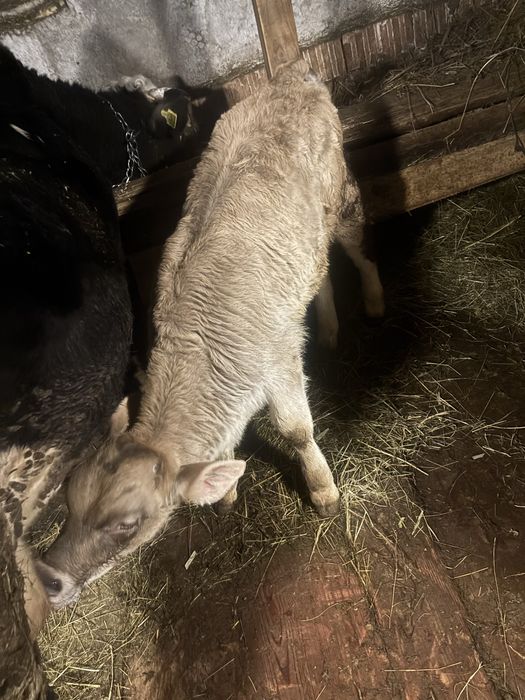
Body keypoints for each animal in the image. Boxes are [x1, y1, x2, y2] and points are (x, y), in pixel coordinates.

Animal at [37, 59, 384, 609]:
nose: (49, 578)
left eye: (127, 524)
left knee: (355, 243)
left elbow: (296, 431)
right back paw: (328, 328)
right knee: (322, 270)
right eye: (69, 502)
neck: (201, 347)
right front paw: (226, 493)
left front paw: (323, 491)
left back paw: (373, 300)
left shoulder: (278, 360)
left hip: (339, 195)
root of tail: (291, 78)